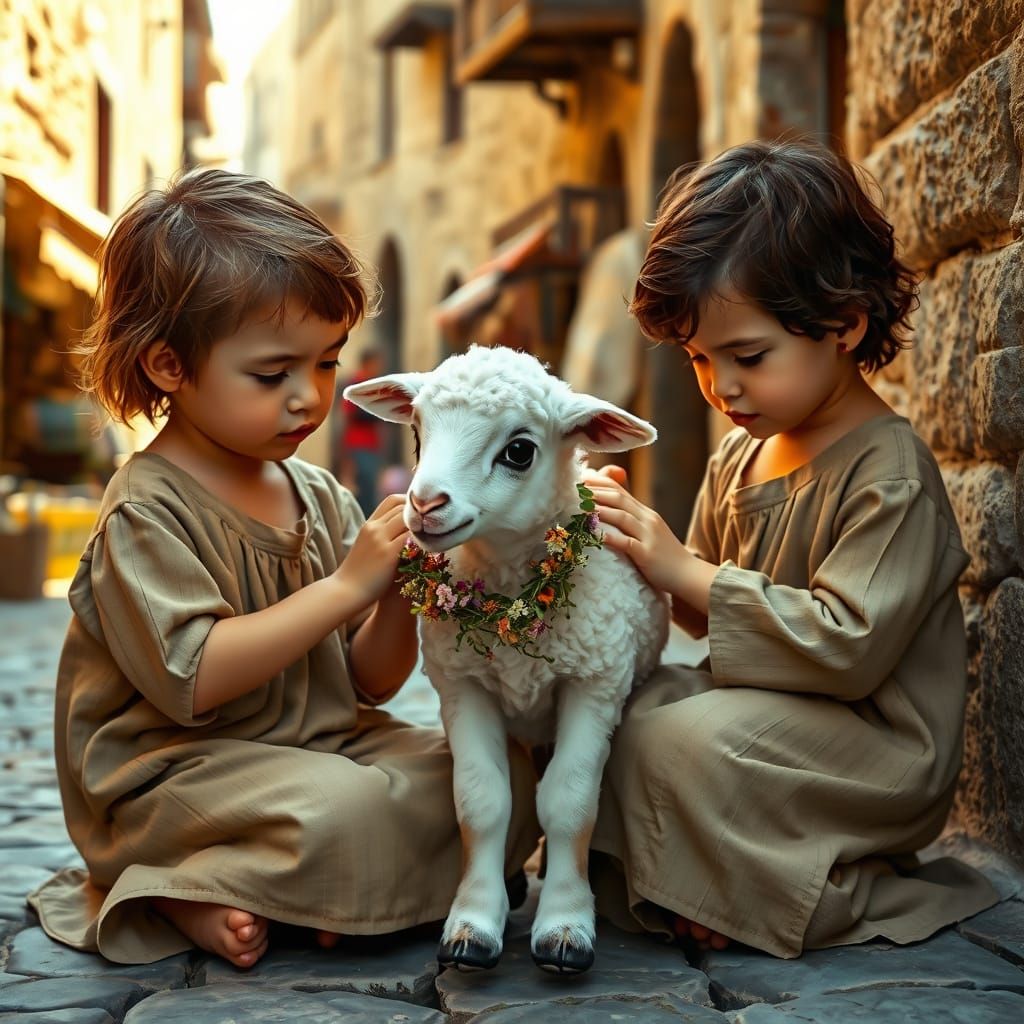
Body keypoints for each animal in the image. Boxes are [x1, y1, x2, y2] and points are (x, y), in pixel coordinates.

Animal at [346, 346, 671, 974]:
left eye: (519, 451)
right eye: (416, 433)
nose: (424, 505)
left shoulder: (595, 684)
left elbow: (569, 802)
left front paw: (566, 926)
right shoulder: (462, 686)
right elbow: (483, 801)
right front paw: (472, 925)